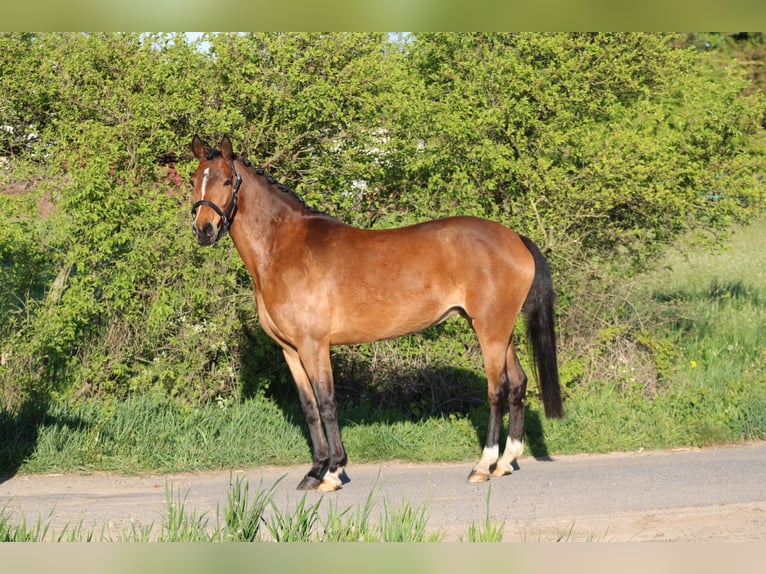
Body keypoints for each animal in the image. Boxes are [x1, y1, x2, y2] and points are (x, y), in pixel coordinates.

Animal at [189, 135, 563, 492]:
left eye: (226, 181)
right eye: (195, 180)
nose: (203, 230)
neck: (285, 248)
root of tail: (514, 238)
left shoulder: (314, 345)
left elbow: (327, 403)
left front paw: (333, 472)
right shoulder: (291, 350)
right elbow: (309, 407)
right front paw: (314, 471)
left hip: (490, 331)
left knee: (497, 390)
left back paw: (482, 467)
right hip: (499, 330)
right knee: (518, 383)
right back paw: (505, 462)